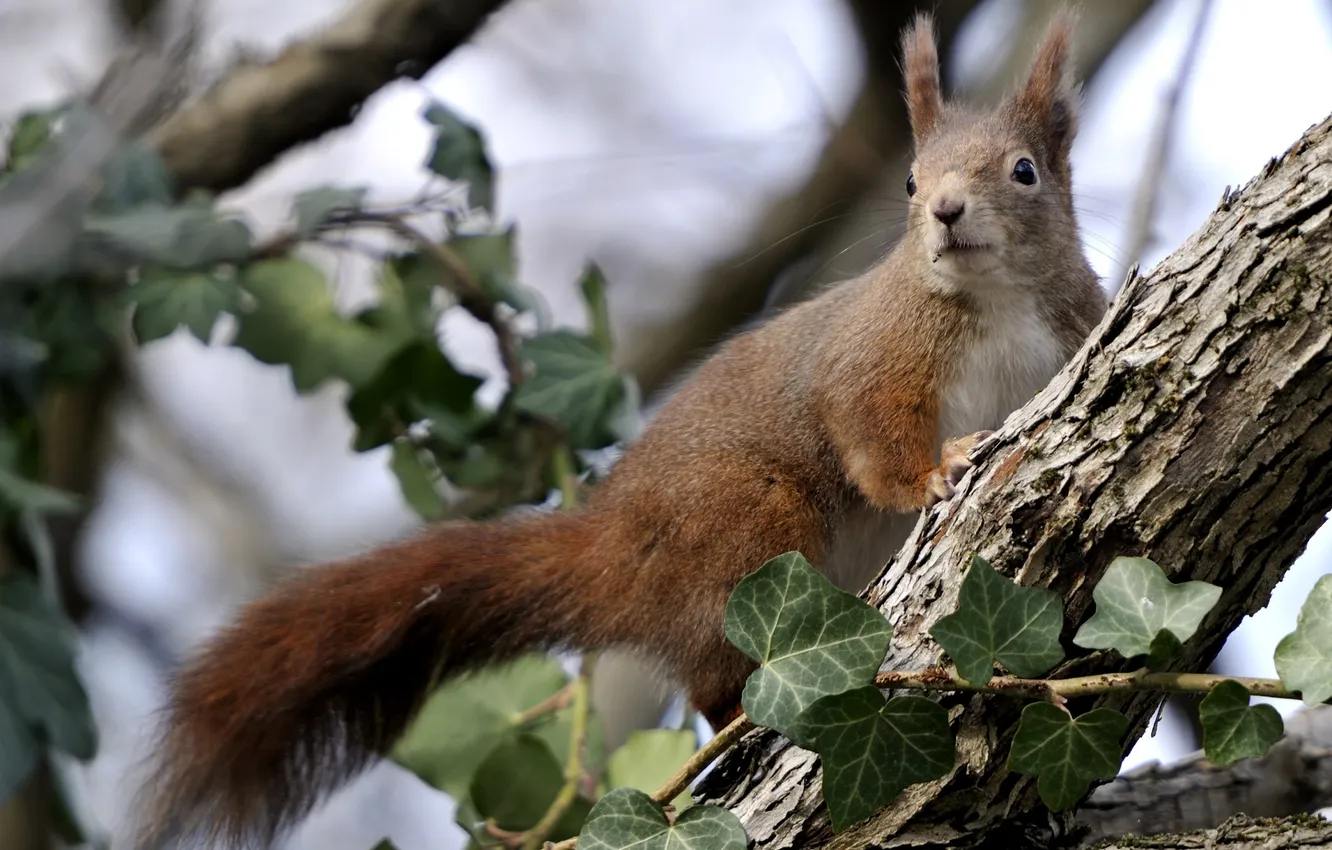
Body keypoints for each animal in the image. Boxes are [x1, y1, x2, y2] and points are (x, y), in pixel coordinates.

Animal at [134, 11, 1107, 849]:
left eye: (1023, 171)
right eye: (909, 180)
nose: (944, 211)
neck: (994, 301)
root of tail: (614, 543)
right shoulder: (872, 359)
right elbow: (868, 433)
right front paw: (934, 470)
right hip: (744, 526)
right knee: (717, 675)